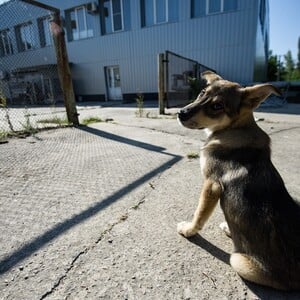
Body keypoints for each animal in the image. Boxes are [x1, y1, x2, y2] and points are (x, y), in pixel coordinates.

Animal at [177, 71, 298, 290]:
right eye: (202, 93)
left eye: (217, 106)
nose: (181, 113)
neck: (233, 129)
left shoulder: (211, 184)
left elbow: (199, 215)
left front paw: (188, 230)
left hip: (238, 261)